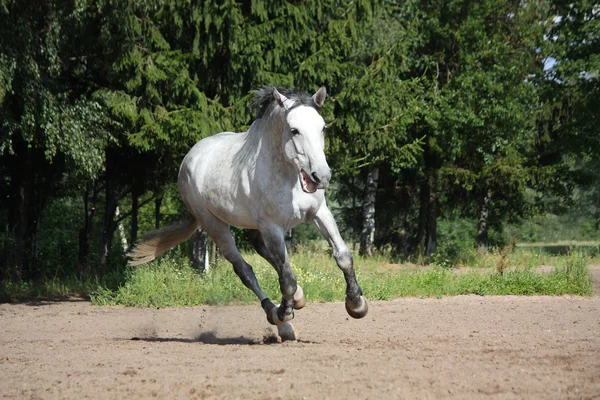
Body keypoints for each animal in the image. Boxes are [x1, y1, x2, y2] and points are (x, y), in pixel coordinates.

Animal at [129, 86, 368, 340]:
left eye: (322, 127)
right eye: (294, 130)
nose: (321, 176)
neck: (287, 176)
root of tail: (189, 159)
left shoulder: (318, 213)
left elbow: (343, 256)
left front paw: (356, 304)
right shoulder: (272, 227)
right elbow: (287, 277)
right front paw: (285, 312)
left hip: (254, 227)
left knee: (263, 251)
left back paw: (298, 300)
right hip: (216, 225)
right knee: (245, 270)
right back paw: (280, 320)